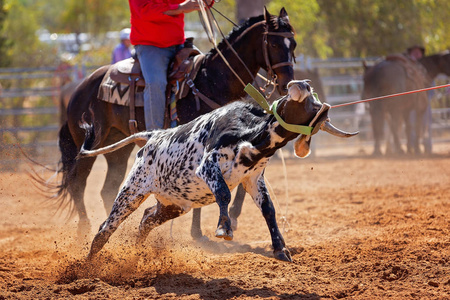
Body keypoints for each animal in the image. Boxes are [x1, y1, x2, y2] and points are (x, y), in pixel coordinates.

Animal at [50, 8, 298, 238]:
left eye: (293, 44)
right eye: (273, 43)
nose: (287, 84)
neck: (211, 81)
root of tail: (78, 87)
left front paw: (233, 218)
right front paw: (197, 232)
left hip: (118, 149)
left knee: (107, 188)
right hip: (90, 145)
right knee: (77, 183)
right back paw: (84, 230)